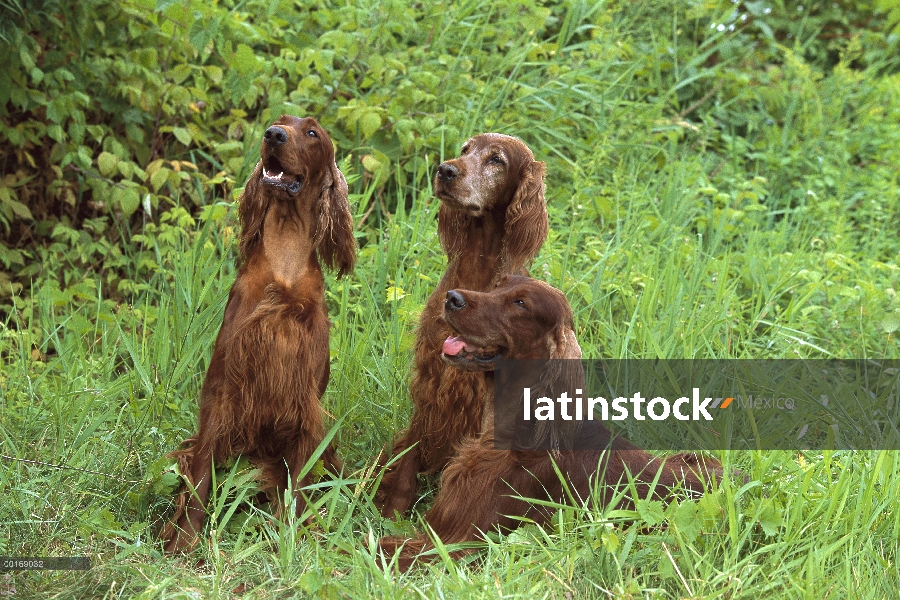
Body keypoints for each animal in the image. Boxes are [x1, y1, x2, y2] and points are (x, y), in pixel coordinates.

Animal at [162, 115, 356, 552]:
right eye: (280, 122)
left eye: (312, 132)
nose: (273, 135)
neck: (283, 267)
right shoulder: (223, 391)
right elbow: (200, 478)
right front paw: (184, 541)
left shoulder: (305, 404)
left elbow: (297, 483)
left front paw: (290, 538)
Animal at [372, 134, 548, 516]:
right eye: (466, 149)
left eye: (496, 160)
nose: (445, 170)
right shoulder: (432, 375)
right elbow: (416, 440)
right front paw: (395, 504)